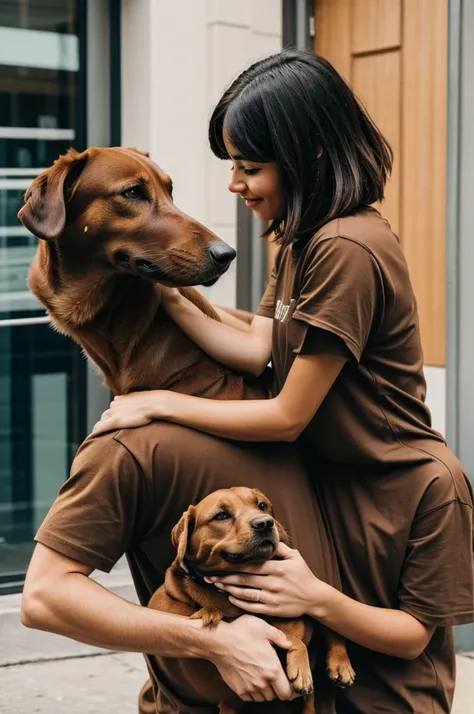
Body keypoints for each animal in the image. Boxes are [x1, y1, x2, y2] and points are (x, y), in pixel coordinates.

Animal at [149, 484, 356, 712]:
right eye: (221, 515)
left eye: (262, 505)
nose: (265, 523)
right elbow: (289, 637)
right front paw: (302, 670)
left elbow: (329, 628)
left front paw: (340, 663)